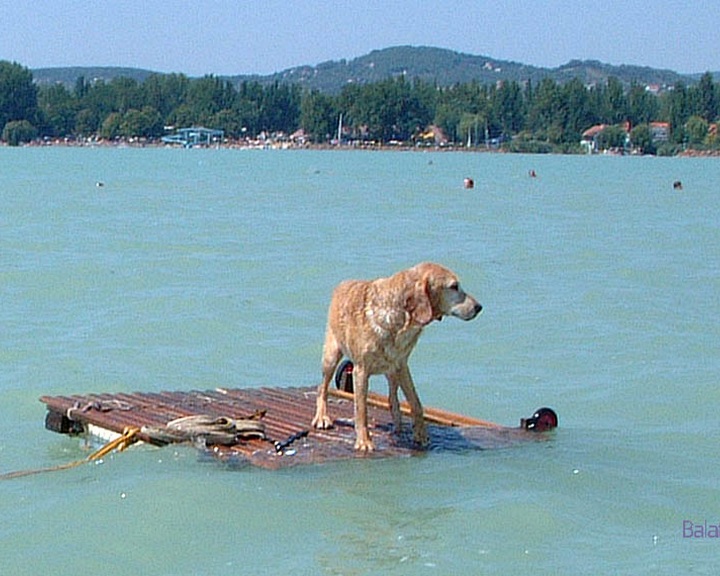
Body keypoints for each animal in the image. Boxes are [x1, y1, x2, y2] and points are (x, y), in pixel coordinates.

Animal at [310, 264, 484, 452]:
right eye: (453, 286)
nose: (479, 307)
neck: (401, 319)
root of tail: (343, 283)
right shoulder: (360, 371)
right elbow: (361, 410)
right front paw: (364, 441)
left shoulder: (402, 365)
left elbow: (416, 403)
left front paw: (421, 435)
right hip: (331, 356)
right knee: (322, 388)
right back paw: (322, 417)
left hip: (392, 371)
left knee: (392, 397)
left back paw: (398, 424)